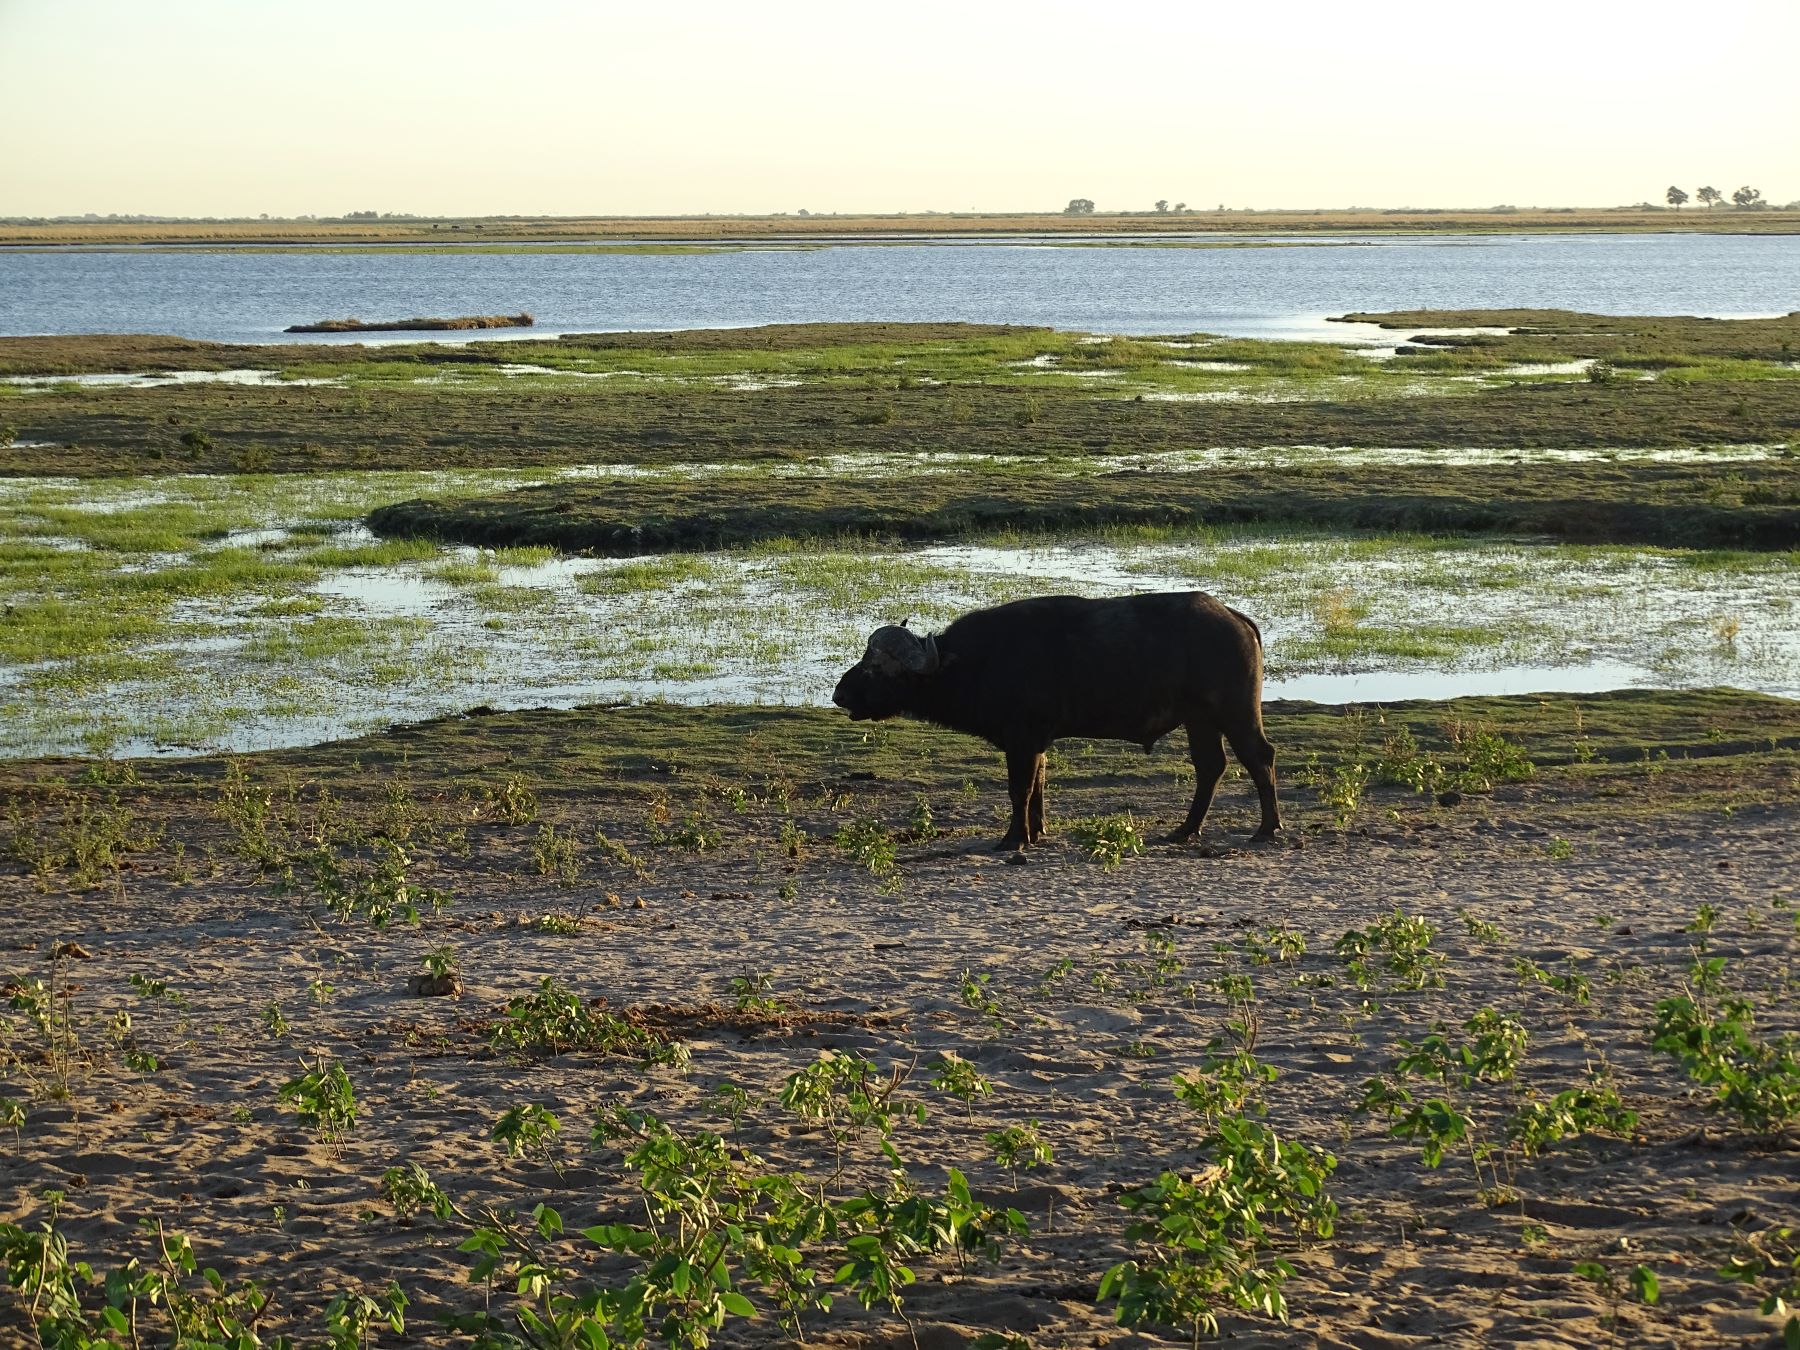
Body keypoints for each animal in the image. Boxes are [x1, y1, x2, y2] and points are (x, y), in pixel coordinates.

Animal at [828, 594, 1281, 849]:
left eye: (876, 668)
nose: (839, 694)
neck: (978, 662)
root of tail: (1236, 619)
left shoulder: (1021, 741)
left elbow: (1020, 790)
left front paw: (1013, 839)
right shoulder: (1037, 744)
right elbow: (1039, 788)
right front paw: (1038, 831)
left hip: (1235, 712)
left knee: (1260, 758)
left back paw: (1267, 829)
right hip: (1199, 720)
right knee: (1210, 767)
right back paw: (1185, 830)